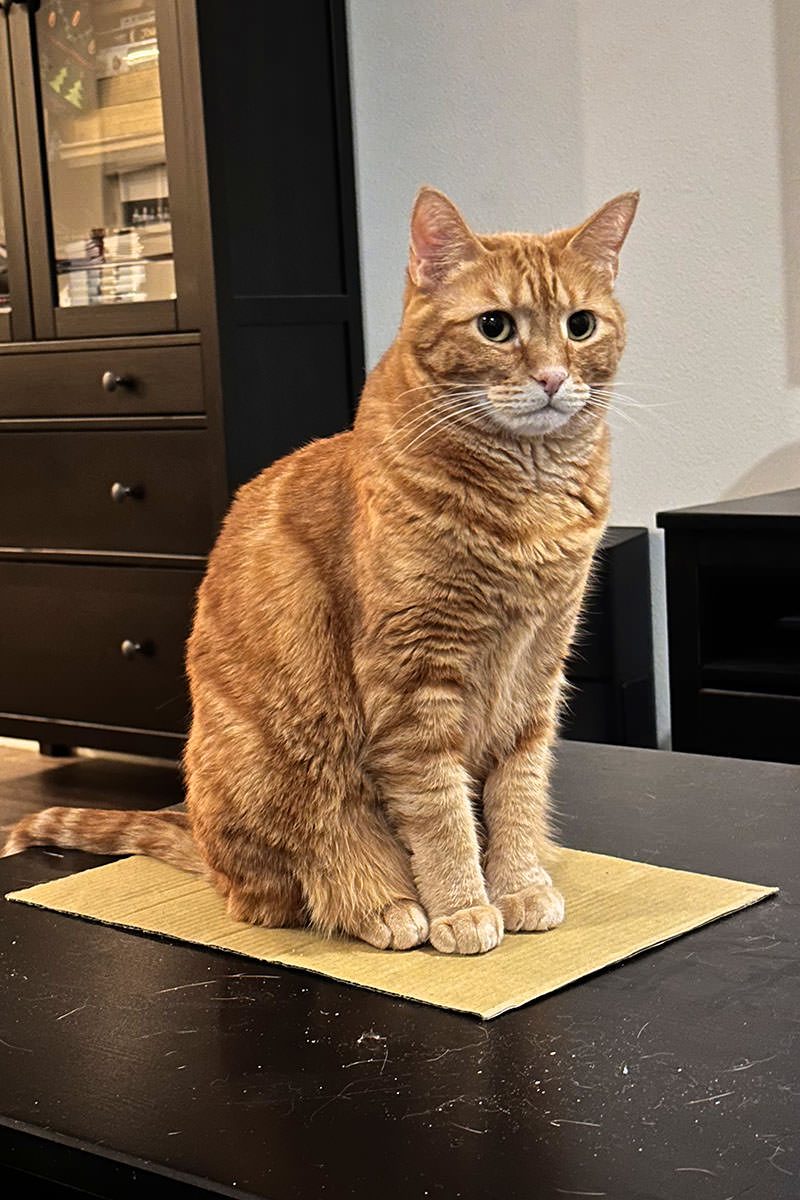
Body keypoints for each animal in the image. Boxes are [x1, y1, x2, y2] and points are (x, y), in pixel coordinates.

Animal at [1, 187, 638, 955]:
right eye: (495, 327)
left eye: (581, 326)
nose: (551, 377)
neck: (528, 494)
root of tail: (202, 850)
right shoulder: (414, 680)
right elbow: (440, 811)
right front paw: (463, 905)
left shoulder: (537, 673)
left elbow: (516, 795)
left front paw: (517, 886)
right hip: (283, 786)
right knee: (292, 887)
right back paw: (385, 907)